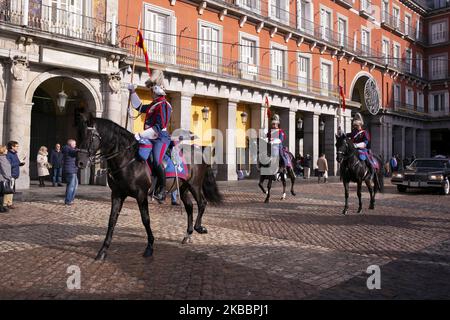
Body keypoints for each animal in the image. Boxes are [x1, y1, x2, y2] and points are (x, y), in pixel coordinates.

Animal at [76, 114, 222, 260]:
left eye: (90, 137)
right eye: (80, 134)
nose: (80, 162)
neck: (127, 159)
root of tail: (199, 150)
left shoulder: (141, 195)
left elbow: (145, 219)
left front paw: (150, 246)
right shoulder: (117, 194)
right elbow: (112, 220)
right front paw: (103, 250)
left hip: (194, 185)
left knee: (202, 203)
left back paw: (199, 228)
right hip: (183, 187)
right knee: (189, 207)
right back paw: (188, 234)